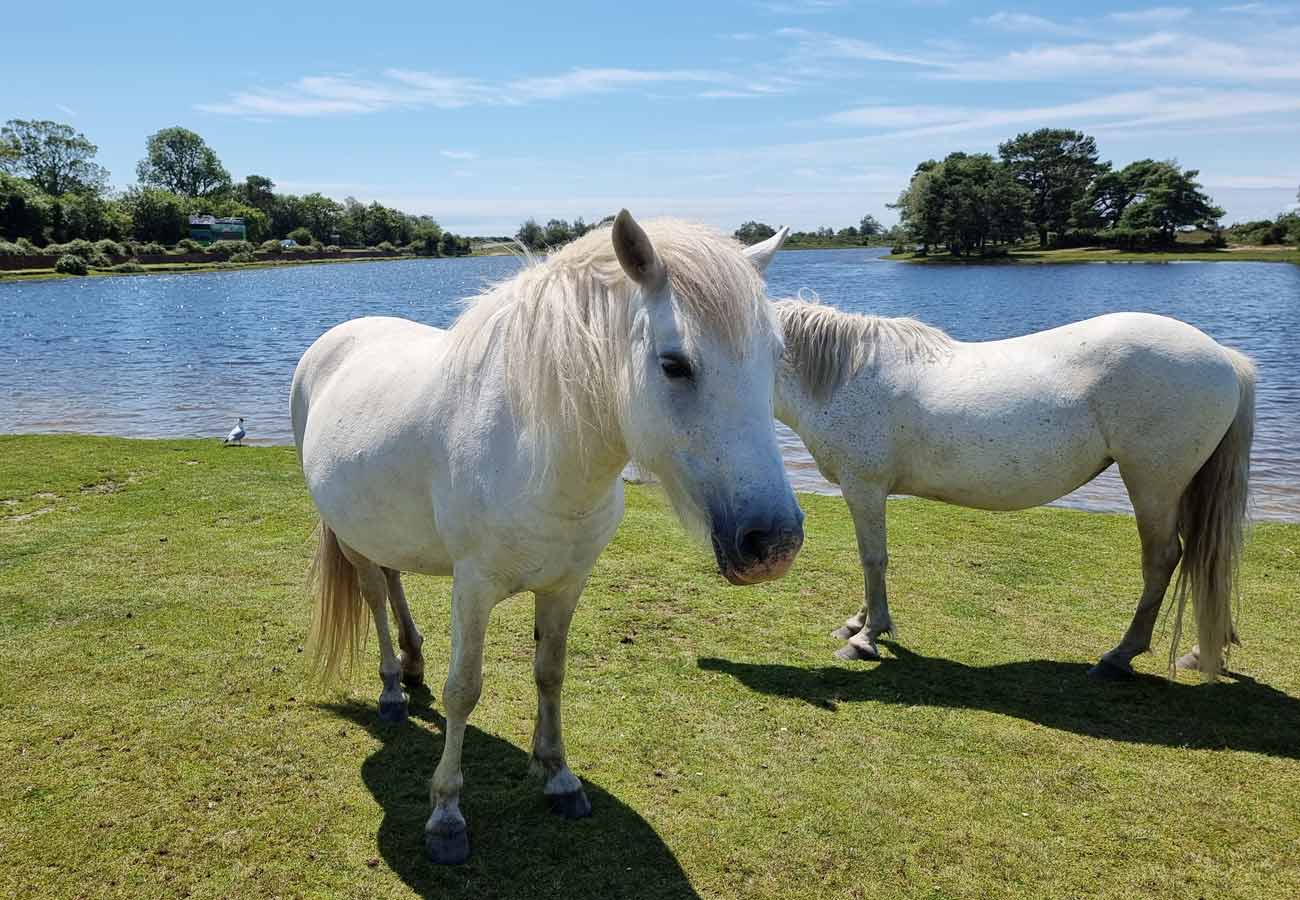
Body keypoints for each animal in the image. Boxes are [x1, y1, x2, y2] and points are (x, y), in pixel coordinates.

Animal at [292, 210, 800, 863]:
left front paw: (558, 777)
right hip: (352, 540)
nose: (774, 542)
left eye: (775, 358)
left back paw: (412, 665)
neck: (538, 447)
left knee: (395, 579)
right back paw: (390, 692)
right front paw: (446, 815)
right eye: (674, 364)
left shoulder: (566, 584)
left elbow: (550, 671)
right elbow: (464, 690)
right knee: (376, 596)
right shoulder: (473, 588)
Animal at [764, 293, 1253, 681]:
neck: (844, 376)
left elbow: (873, 560)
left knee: (1164, 559)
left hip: (1153, 485)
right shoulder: (864, 491)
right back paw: (1205, 649)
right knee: (1208, 555)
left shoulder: (863, 487)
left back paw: (1119, 656)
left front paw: (866, 636)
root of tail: (1224, 357)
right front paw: (858, 622)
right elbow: (871, 559)